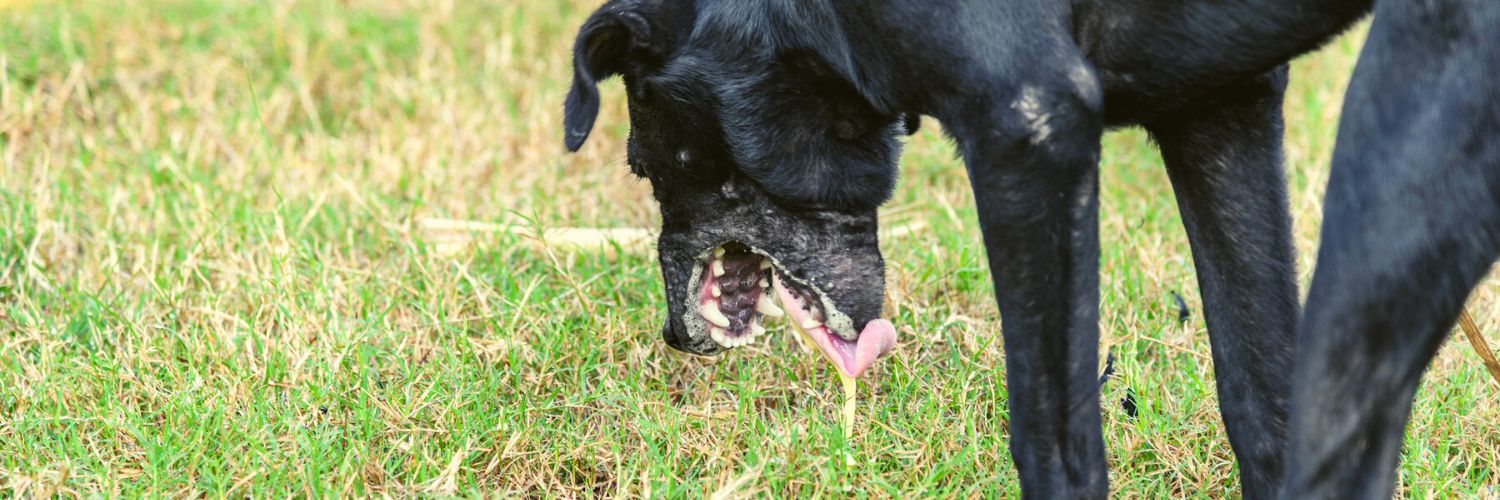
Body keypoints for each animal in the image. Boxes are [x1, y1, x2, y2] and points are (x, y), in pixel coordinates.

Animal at [560, 1, 1500, 498]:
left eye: (645, 162)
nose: (675, 337)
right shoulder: (1221, 110)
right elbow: (1262, 403)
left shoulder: (1028, 131)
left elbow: (1055, 446)